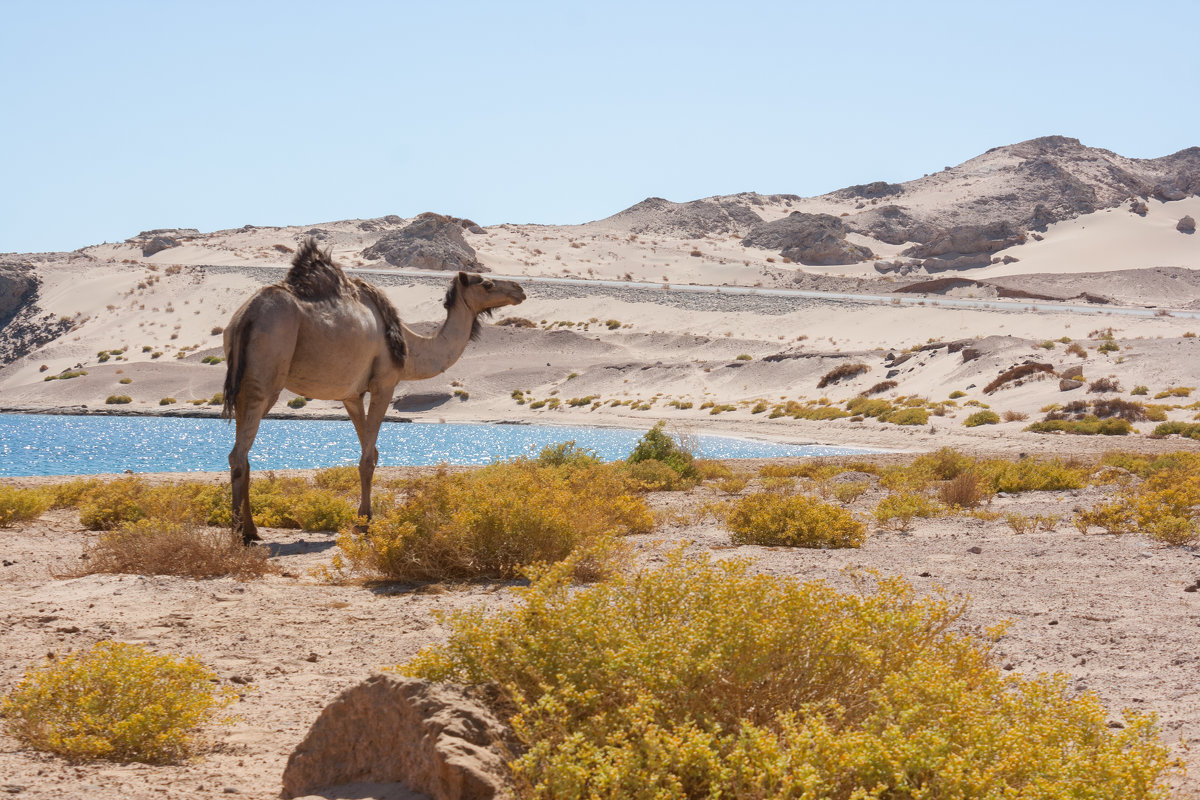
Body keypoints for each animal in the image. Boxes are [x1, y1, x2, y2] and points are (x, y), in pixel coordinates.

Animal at [223, 237, 523, 544]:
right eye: (486, 284)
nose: (519, 289)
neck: (410, 347)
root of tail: (247, 316)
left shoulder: (351, 395)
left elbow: (371, 451)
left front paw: (362, 519)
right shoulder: (385, 383)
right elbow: (368, 458)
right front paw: (365, 523)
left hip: (246, 383)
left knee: (243, 453)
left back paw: (252, 530)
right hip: (267, 374)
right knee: (238, 455)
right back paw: (239, 532)